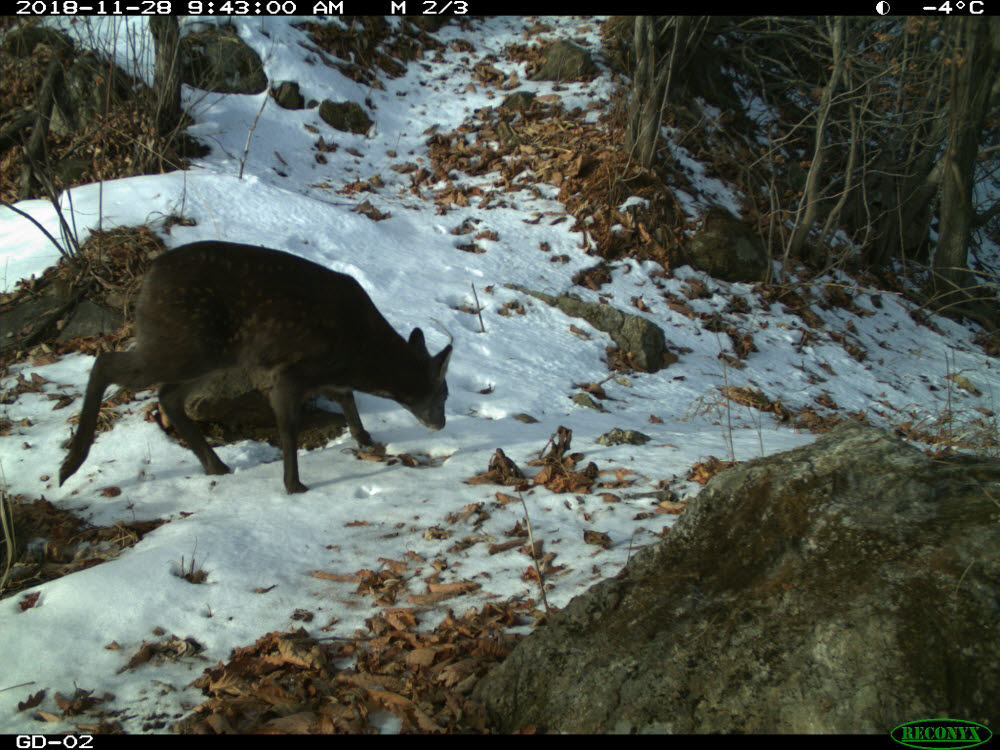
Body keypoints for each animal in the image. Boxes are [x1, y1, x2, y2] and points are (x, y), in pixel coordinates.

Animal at [58, 244, 454, 496]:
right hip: (183, 343)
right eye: (444, 392)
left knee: (168, 396)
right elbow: (290, 427)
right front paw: (293, 485)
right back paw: (70, 464)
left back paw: (215, 465)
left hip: (210, 355)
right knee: (106, 363)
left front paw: (364, 438)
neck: (360, 352)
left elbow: (346, 396)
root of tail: (149, 275)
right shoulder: (291, 372)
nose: (441, 424)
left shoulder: (323, 374)